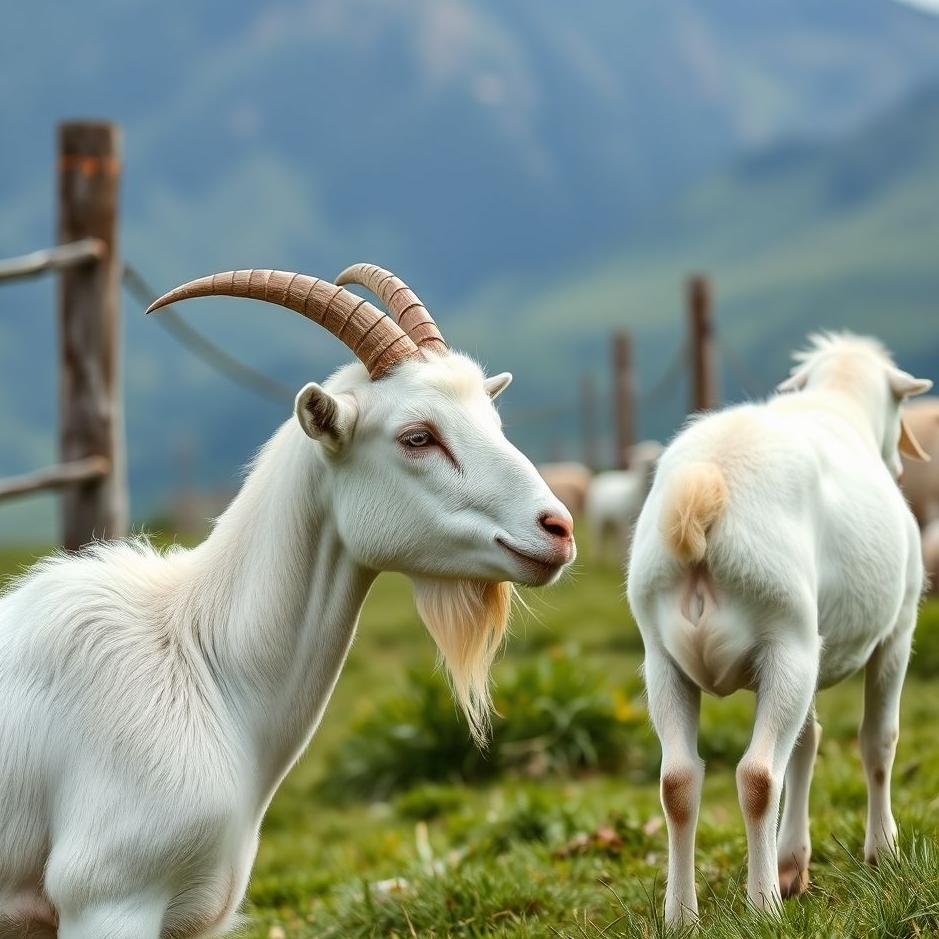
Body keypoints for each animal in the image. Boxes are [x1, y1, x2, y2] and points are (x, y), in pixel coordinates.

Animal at [627, 333, 930, 922]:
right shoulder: (898, 632)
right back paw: (763, 904)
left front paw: (795, 862)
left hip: (666, 657)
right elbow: (877, 742)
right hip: (787, 640)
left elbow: (807, 743)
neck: (839, 404)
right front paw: (883, 851)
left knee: (678, 781)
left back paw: (682, 915)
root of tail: (706, 485)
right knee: (757, 776)